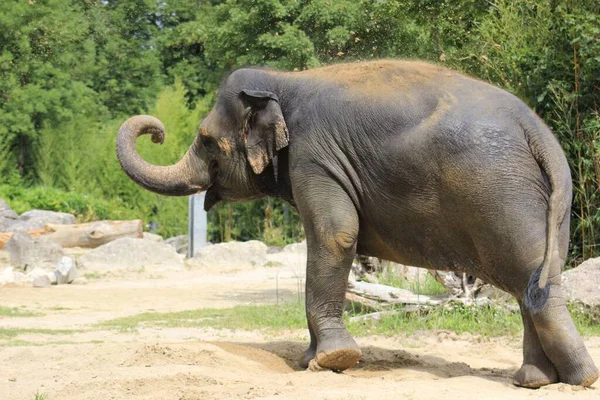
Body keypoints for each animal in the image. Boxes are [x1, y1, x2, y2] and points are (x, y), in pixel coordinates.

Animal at [115, 59, 596, 388]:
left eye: (205, 139)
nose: (156, 130)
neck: (283, 79)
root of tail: (537, 129)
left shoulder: (314, 156)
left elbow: (335, 236)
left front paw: (332, 361)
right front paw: (307, 360)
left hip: (501, 194)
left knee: (530, 281)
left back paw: (579, 379)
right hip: (544, 201)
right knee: (533, 282)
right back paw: (534, 381)